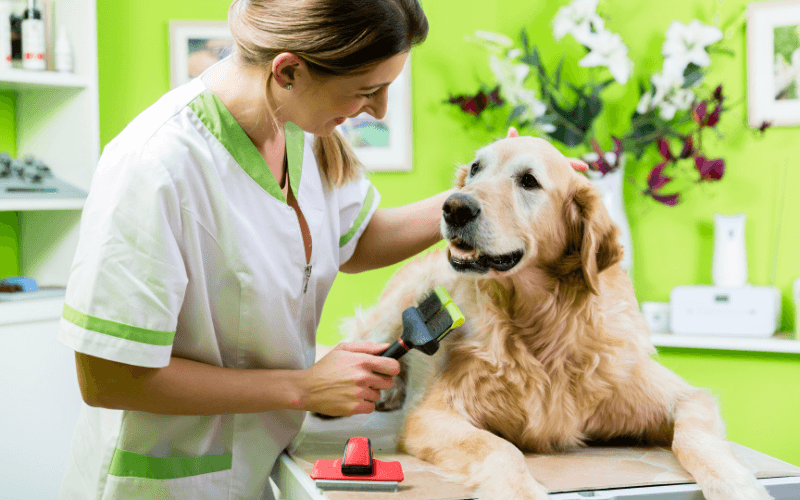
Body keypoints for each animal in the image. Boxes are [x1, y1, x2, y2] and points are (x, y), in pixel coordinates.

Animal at [340, 130, 776, 500]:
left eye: (529, 181)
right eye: (476, 169)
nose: (454, 206)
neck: (543, 325)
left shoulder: (683, 396)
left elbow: (697, 439)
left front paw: (737, 486)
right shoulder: (432, 414)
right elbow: (499, 448)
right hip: (394, 317)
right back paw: (387, 389)